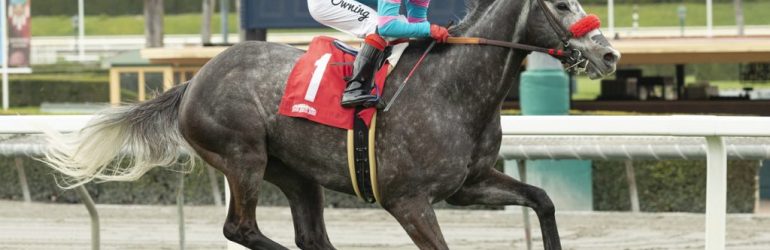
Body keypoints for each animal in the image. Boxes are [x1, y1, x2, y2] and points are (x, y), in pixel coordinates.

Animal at [43, 0, 616, 249]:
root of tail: (193, 79)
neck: (450, 89)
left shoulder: (467, 185)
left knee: (310, 236)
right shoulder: (407, 200)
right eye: (561, 3)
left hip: (296, 174)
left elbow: (542, 201)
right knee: (240, 228)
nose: (608, 54)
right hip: (243, 156)